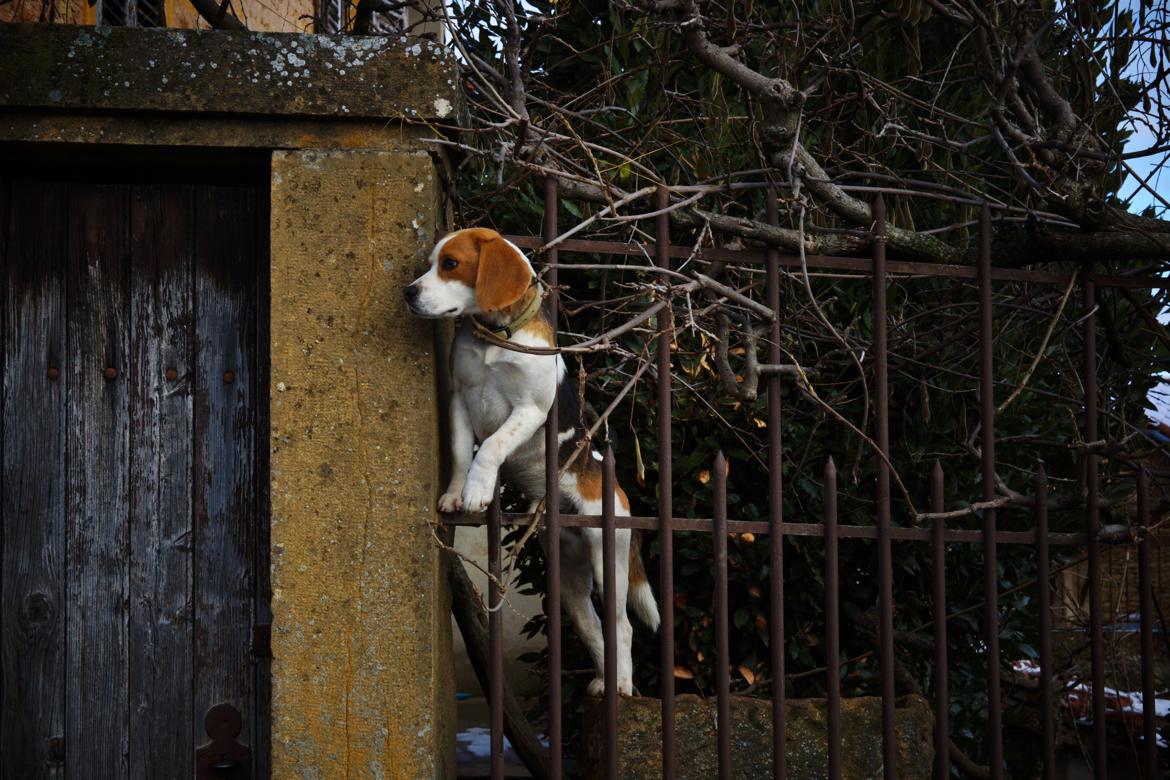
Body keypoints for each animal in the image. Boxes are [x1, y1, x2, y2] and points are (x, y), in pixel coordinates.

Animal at [402, 225, 659, 696]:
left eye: (450, 264)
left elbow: (491, 447)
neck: (497, 336)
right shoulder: (460, 401)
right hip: (567, 581)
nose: (408, 292)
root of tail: (614, 484)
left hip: (607, 559)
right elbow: (461, 454)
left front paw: (478, 492)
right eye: (430, 264)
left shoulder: (530, 410)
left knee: (622, 626)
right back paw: (602, 680)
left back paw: (621, 686)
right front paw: (455, 493)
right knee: (593, 628)